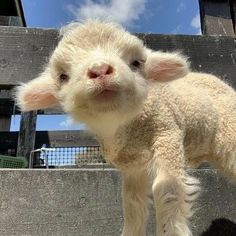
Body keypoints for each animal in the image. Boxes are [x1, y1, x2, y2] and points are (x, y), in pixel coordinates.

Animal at [15, 20, 235, 236]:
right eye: (62, 76)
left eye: (136, 63)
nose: (100, 69)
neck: (124, 127)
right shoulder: (133, 166)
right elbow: (132, 206)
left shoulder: (167, 135)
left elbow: (167, 192)